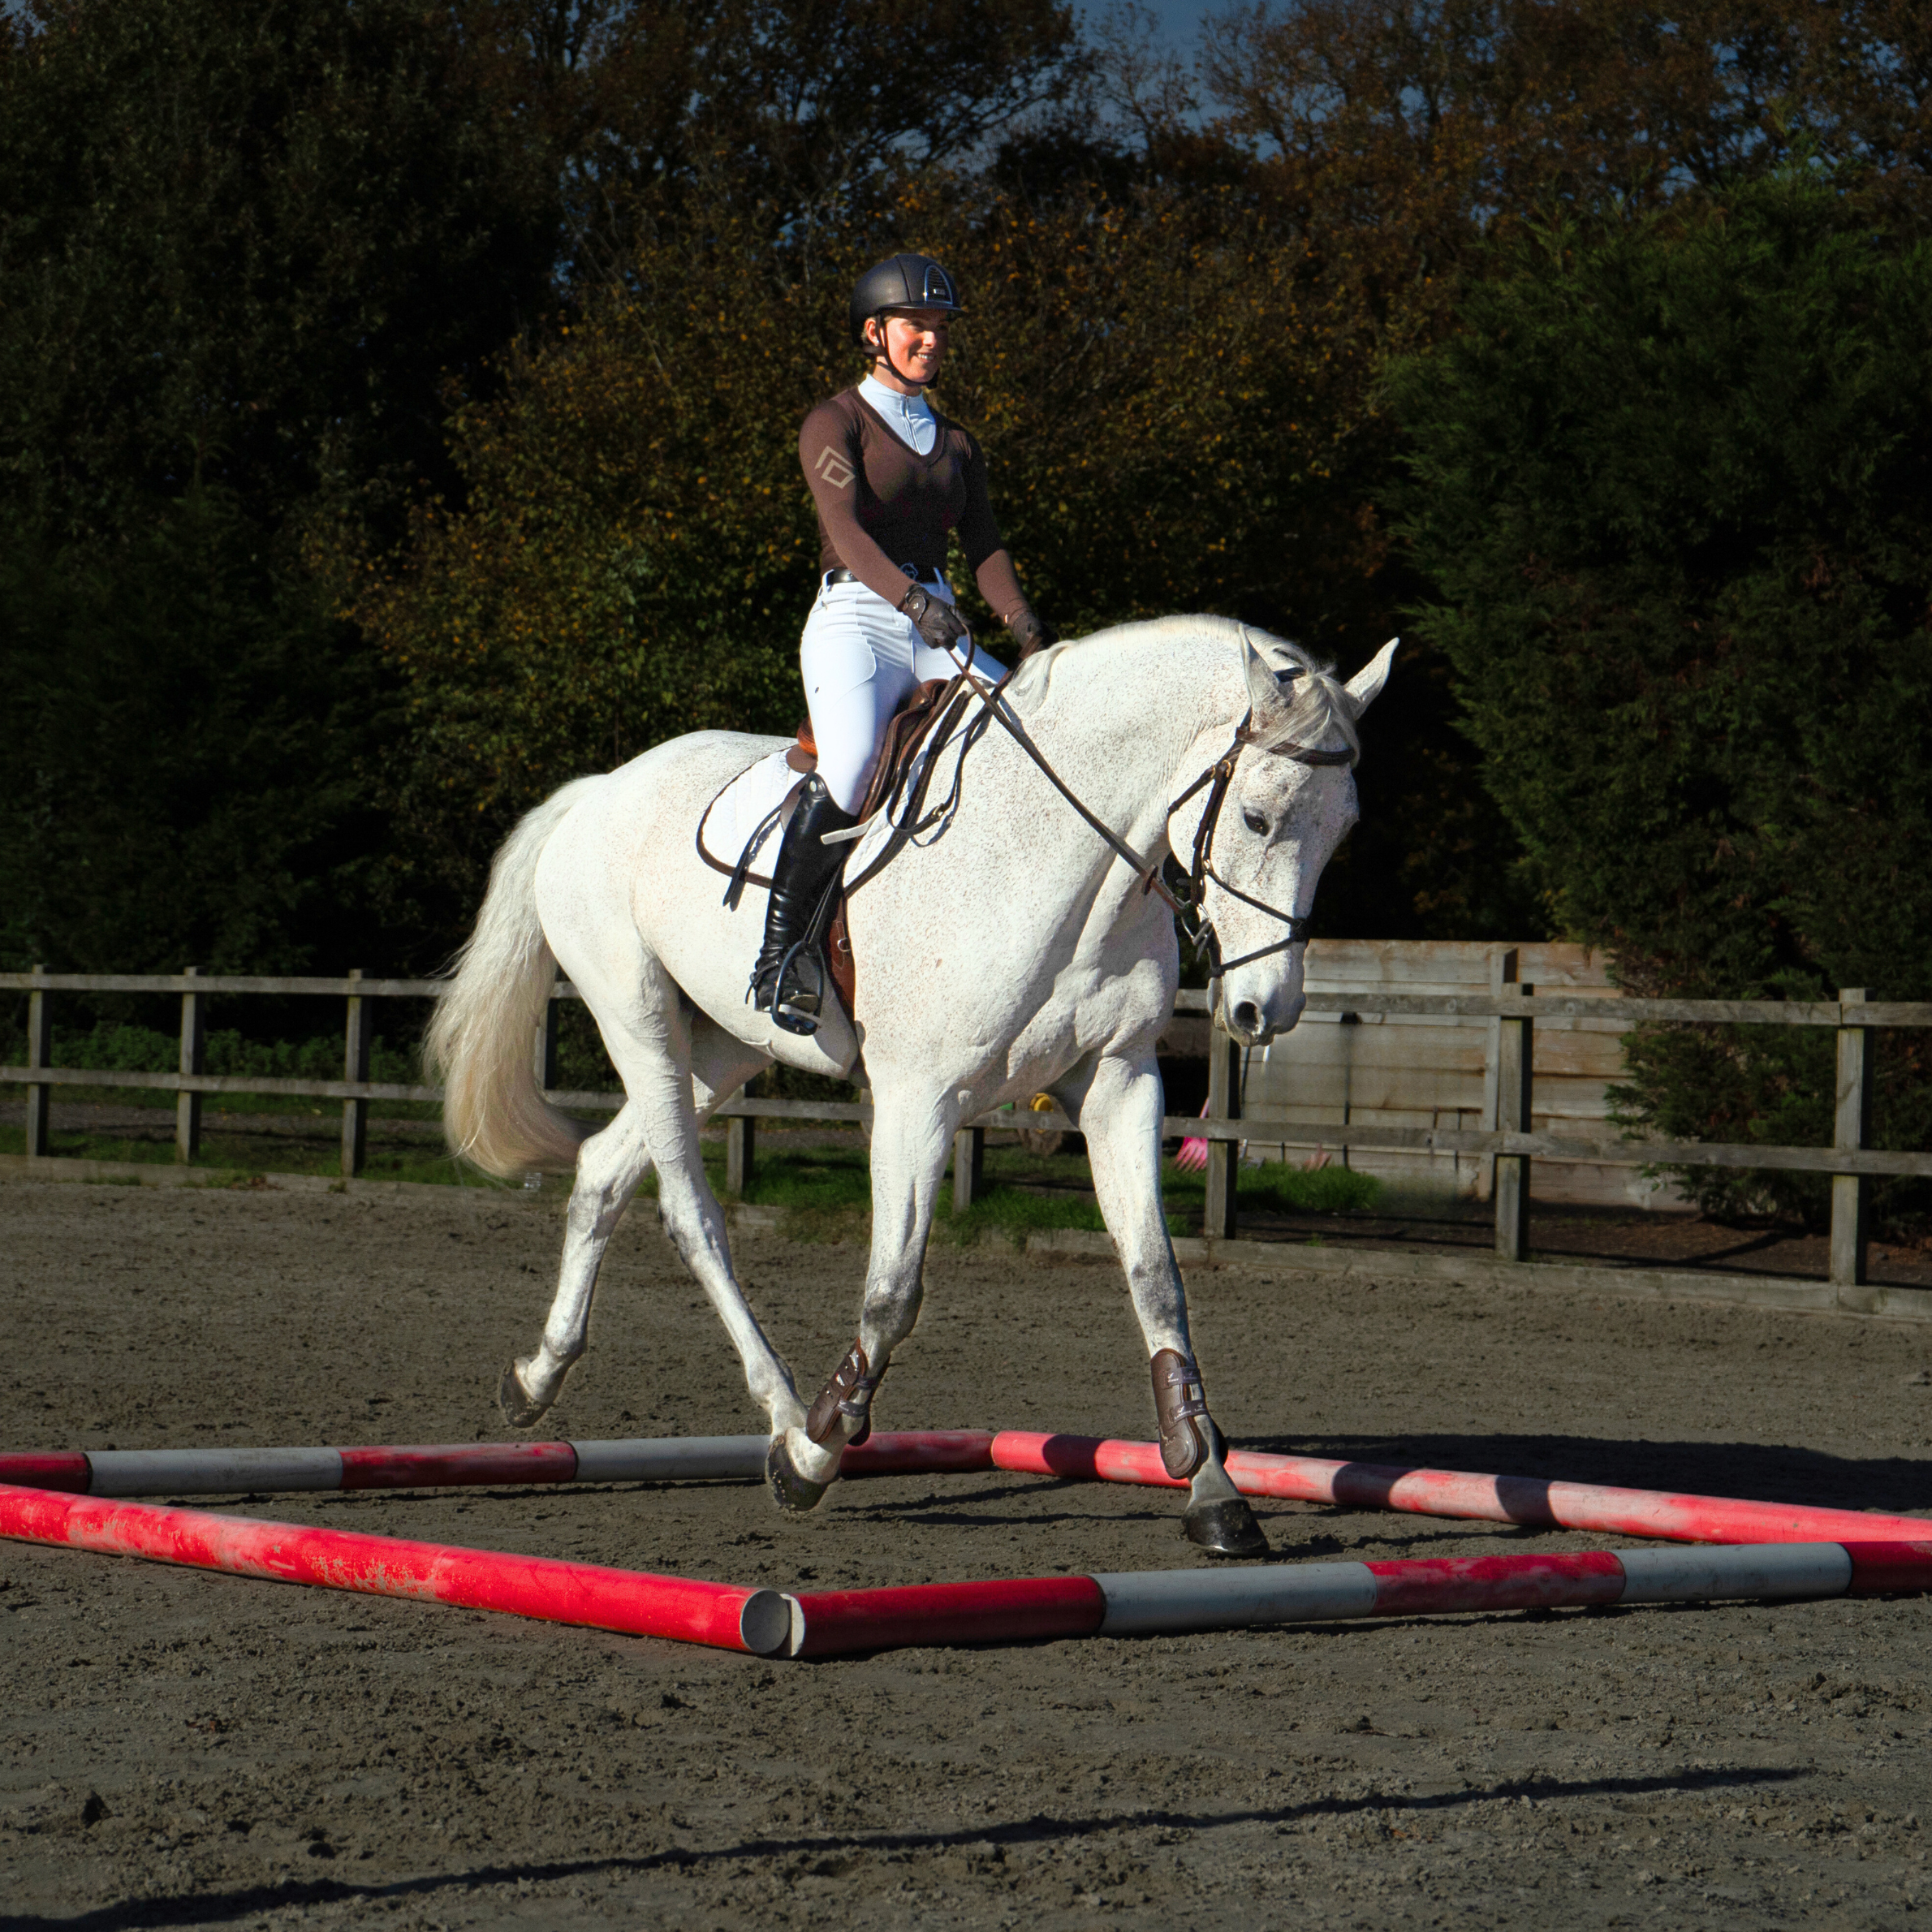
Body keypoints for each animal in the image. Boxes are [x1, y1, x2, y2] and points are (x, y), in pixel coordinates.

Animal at [426, 618, 1391, 1553]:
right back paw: (782, 1413)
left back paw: (537, 1377)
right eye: (1257, 817)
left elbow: (1156, 1277)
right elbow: (893, 1294)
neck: (1055, 858)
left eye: (1345, 829)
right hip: (639, 1020)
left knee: (602, 1169)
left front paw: (1213, 1488)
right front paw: (814, 1455)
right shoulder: (916, 1100)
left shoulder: (1119, 1081)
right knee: (690, 1212)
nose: (1267, 1010)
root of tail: (597, 791)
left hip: (721, 1048)